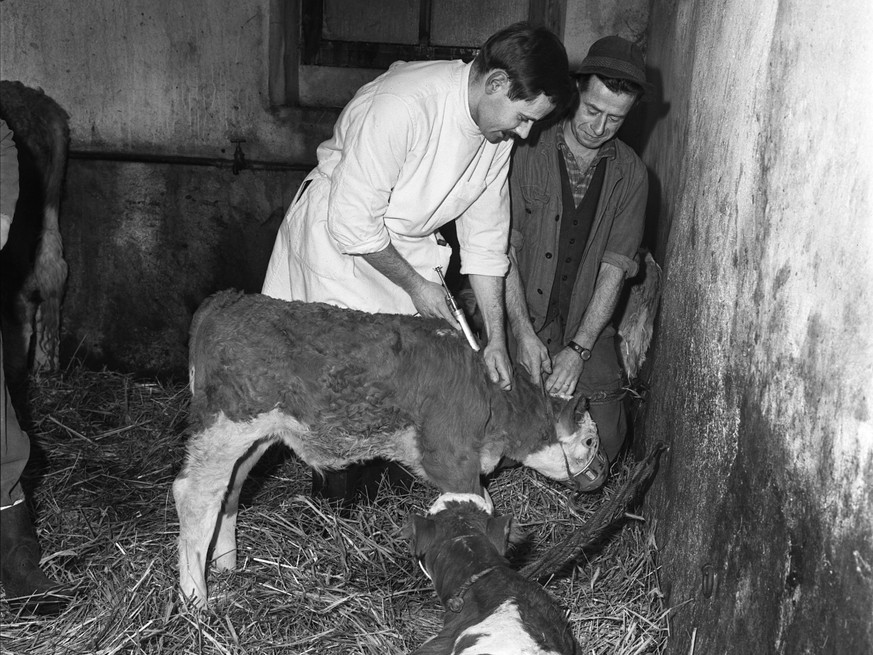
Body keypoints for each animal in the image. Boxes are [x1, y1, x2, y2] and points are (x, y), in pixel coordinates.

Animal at [174, 292, 604, 608]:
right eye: (589, 441)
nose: (603, 476)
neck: (492, 395)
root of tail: (224, 302)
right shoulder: (451, 459)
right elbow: (473, 510)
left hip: (256, 437)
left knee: (230, 490)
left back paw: (227, 568)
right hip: (226, 426)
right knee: (194, 496)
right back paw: (197, 601)